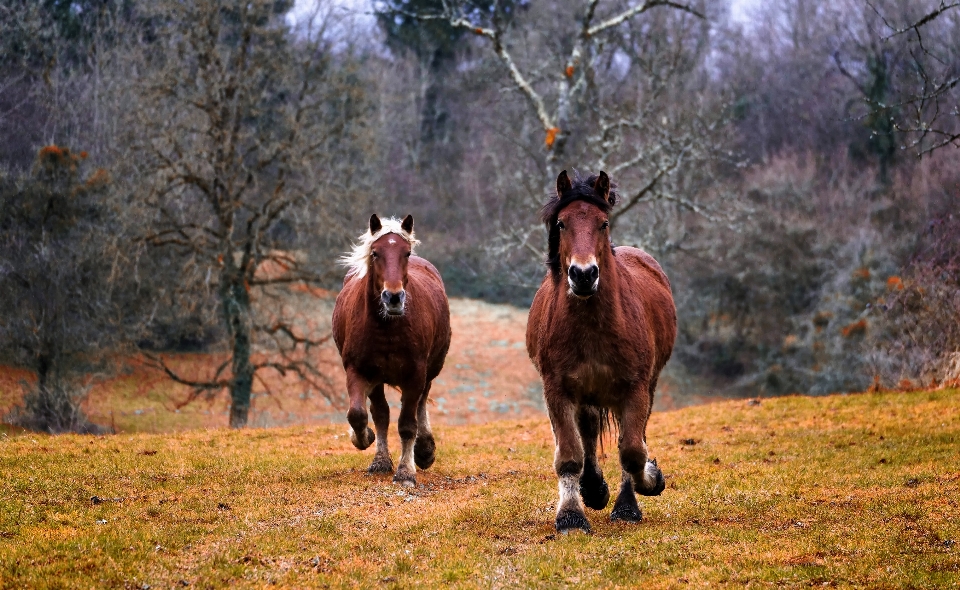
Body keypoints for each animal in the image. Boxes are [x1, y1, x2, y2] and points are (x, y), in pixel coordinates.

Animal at [332, 215, 452, 488]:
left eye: (406, 253)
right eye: (375, 253)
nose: (393, 298)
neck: (387, 327)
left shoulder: (415, 374)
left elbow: (407, 424)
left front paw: (406, 472)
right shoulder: (358, 370)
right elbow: (359, 414)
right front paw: (365, 440)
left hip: (430, 370)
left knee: (420, 404)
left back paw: (424, 450)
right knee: (381, 413)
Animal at [524, 171, 676, 536]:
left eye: (603, 223)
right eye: (562, 223)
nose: (583, 274)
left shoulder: (635, 389)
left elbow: (633, 451)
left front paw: (646, 486)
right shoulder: (558, 390)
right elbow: (569, 454)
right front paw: (571, 516)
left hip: (643, 387)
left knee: (630, 438)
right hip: (587, 394)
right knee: (589, 433)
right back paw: (592, 489)